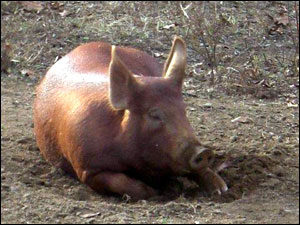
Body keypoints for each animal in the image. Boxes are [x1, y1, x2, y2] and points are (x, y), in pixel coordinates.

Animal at [33, 36, 227, 200]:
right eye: (154, 114)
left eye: (184, 110)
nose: (203, 152)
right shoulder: (87, 168)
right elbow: (122, 183)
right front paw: (162, 190)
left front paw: (221, 189)